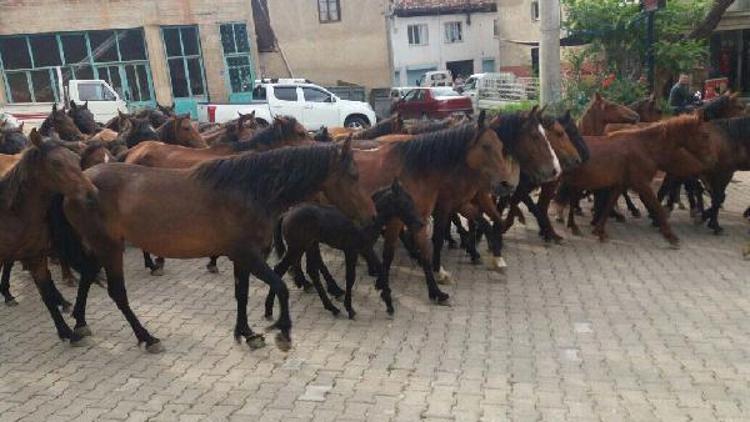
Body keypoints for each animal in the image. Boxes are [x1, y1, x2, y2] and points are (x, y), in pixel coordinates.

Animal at [54, 138, 376, 352]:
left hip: (98, 246)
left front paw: (247, 332)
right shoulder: (248, 254)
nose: (371, 216)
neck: (248, 191)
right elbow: (280, 286)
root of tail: (82, 181)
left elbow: (241, 294)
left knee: (87, 278)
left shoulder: (240, 257)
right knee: (117, 293)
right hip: (109, 247)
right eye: (353, 175)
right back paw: (146, 337)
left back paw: (79, 323)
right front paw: (283, 332)